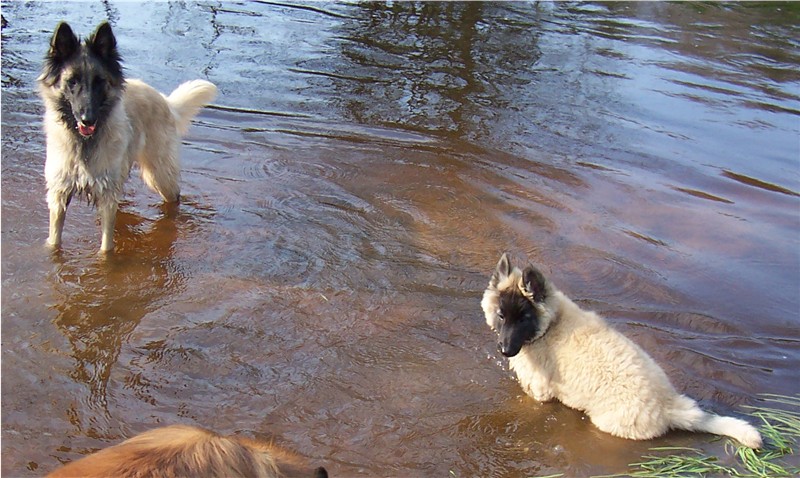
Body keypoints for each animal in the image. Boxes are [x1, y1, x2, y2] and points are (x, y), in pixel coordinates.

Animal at [39, 21, 217, 254]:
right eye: (73, 82)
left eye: (99, 81)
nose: (88, 119)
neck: (85, 144)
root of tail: (165, 101)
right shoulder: (59, 196)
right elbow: (54, 241)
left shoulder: (107, 198)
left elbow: (106, 246)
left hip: (158, 175)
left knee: (174, 197)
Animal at [482, 254, 764, 448]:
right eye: (501, 315)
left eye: (523, 319)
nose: (505, 350)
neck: (550, 326)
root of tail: (669, 406)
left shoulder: (540, 390)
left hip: (607, 421)